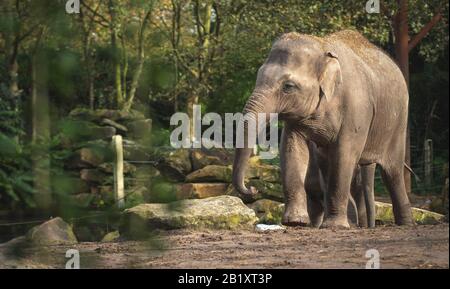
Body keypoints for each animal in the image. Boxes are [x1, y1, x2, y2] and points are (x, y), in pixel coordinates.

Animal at [234, 29, 414, 227]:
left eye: (288, 86)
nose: (252, 189)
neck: (321, 46)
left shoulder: (356, 107)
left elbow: (344, 154)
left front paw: (335, 226)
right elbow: (292, 149)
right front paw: (295, 222)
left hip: (398, 122)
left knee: (393, 172)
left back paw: (405, 224)